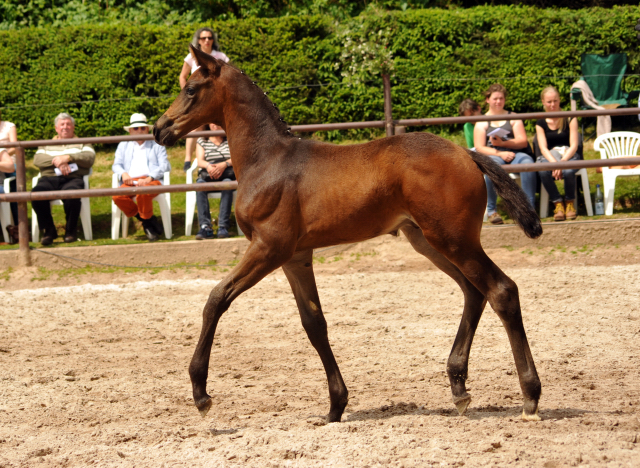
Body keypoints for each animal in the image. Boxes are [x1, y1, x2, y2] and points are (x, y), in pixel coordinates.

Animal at [154, 45, 540, 422]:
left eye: (191, 89)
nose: (160, 129)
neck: (268, 160)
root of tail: (466, 152)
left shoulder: (269, 248)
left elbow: (216, 299)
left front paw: (200, 394)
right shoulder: (296, 257)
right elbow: (314, 323)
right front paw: (336, 405)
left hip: (454, 240)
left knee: (501, 291)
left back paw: (530, 396)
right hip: (428, 241)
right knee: (473, 293)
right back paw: (458, 387)